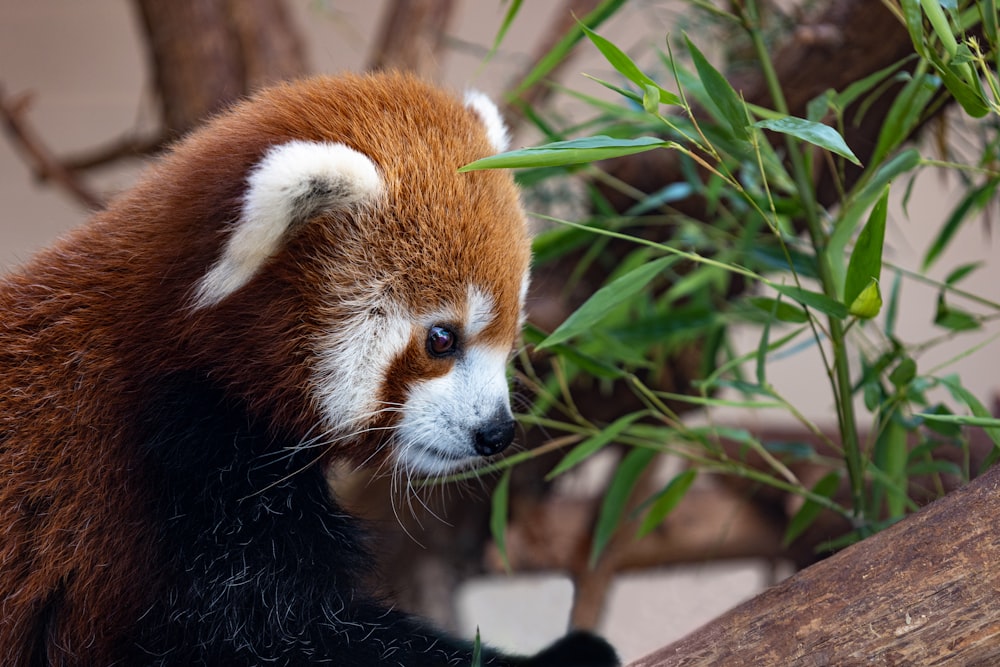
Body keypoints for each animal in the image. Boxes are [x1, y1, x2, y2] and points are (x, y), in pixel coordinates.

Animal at [0, 73, 616, 667]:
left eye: (513, 334)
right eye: (442, 339)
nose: (496, 432)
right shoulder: (179, 471)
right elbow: (271, 635)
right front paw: (563, 655)